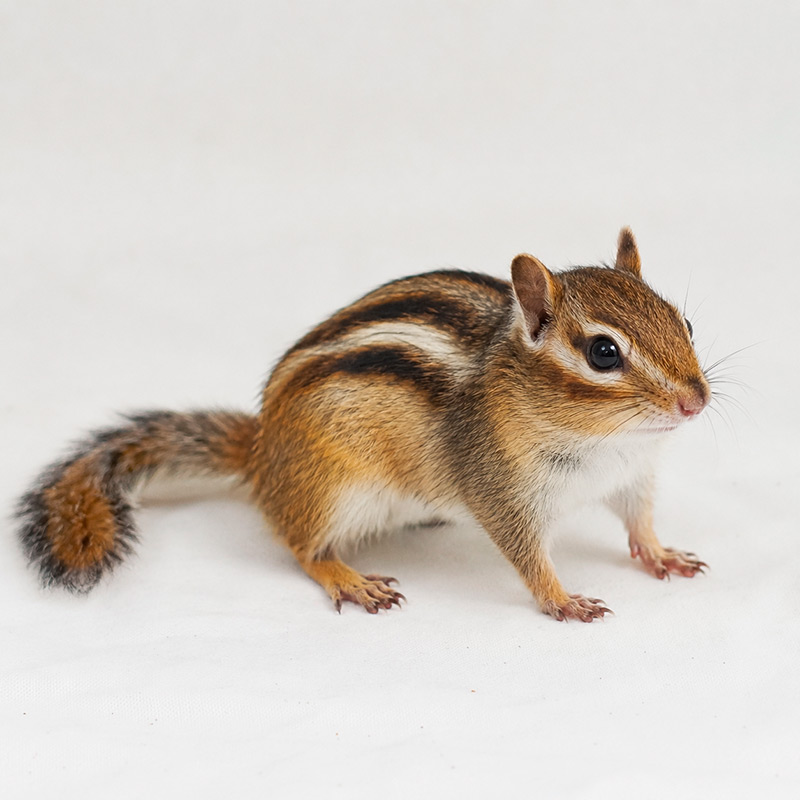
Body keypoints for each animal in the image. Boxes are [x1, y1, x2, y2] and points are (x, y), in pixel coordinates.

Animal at [16, 228, 711, 622]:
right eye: (603, 353)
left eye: (683, 322)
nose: (696, 403)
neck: (606, 442)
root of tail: (262, 453)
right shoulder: (500, 488)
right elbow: (526, 554)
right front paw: (562, 599)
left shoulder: (631, 476)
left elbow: (638, 520)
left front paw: (662, 553)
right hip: (332, 488)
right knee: (302, 546)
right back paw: (348, 579)